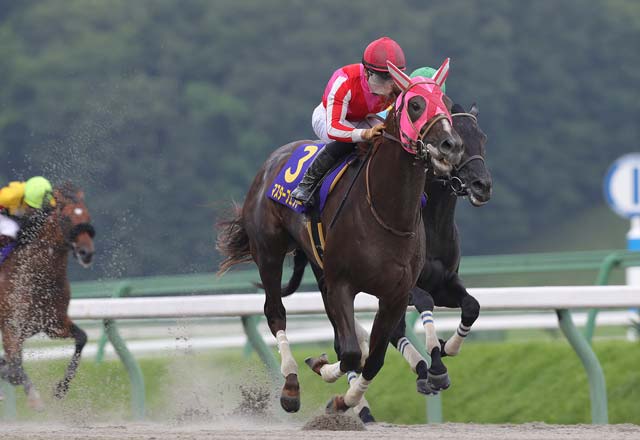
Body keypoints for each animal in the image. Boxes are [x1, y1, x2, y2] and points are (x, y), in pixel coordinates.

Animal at [0, 184, 95, 410]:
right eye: (67, 218)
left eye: (87, 216)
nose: (87, 253)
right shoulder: (11, 325)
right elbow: (15, 367)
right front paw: (34, 398)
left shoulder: (53, 323)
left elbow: (82, 338)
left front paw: (61, 389)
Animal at [217, 60, 463, 413]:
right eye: (415, 105)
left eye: (445, 102)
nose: (451, 146)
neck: (386, 213)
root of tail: (271, 162)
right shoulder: (343, 284)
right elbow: (351, 353)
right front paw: (325, 373)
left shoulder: (396, 294)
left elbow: (372, 359)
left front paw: (346, 399)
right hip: (269, 252)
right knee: (275, 313)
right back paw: (290, 384)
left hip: (319, 269)